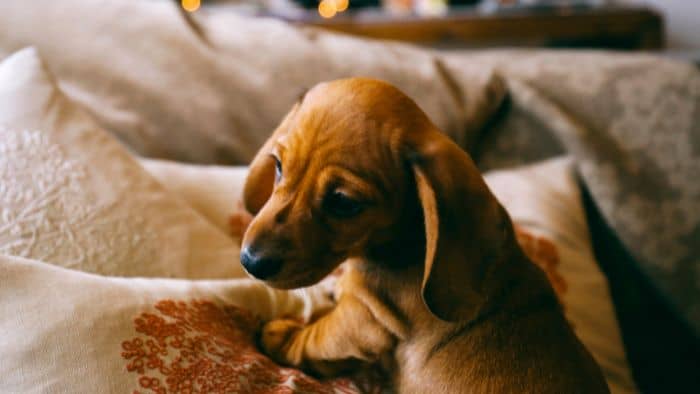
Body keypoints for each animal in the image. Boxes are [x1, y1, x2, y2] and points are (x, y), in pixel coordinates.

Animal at [239, 78, 608, 392]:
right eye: (278, 166)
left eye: (343, 202)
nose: (250, 262)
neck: (407, 246)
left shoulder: (360, 320)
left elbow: (314, 339)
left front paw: (283, 336)